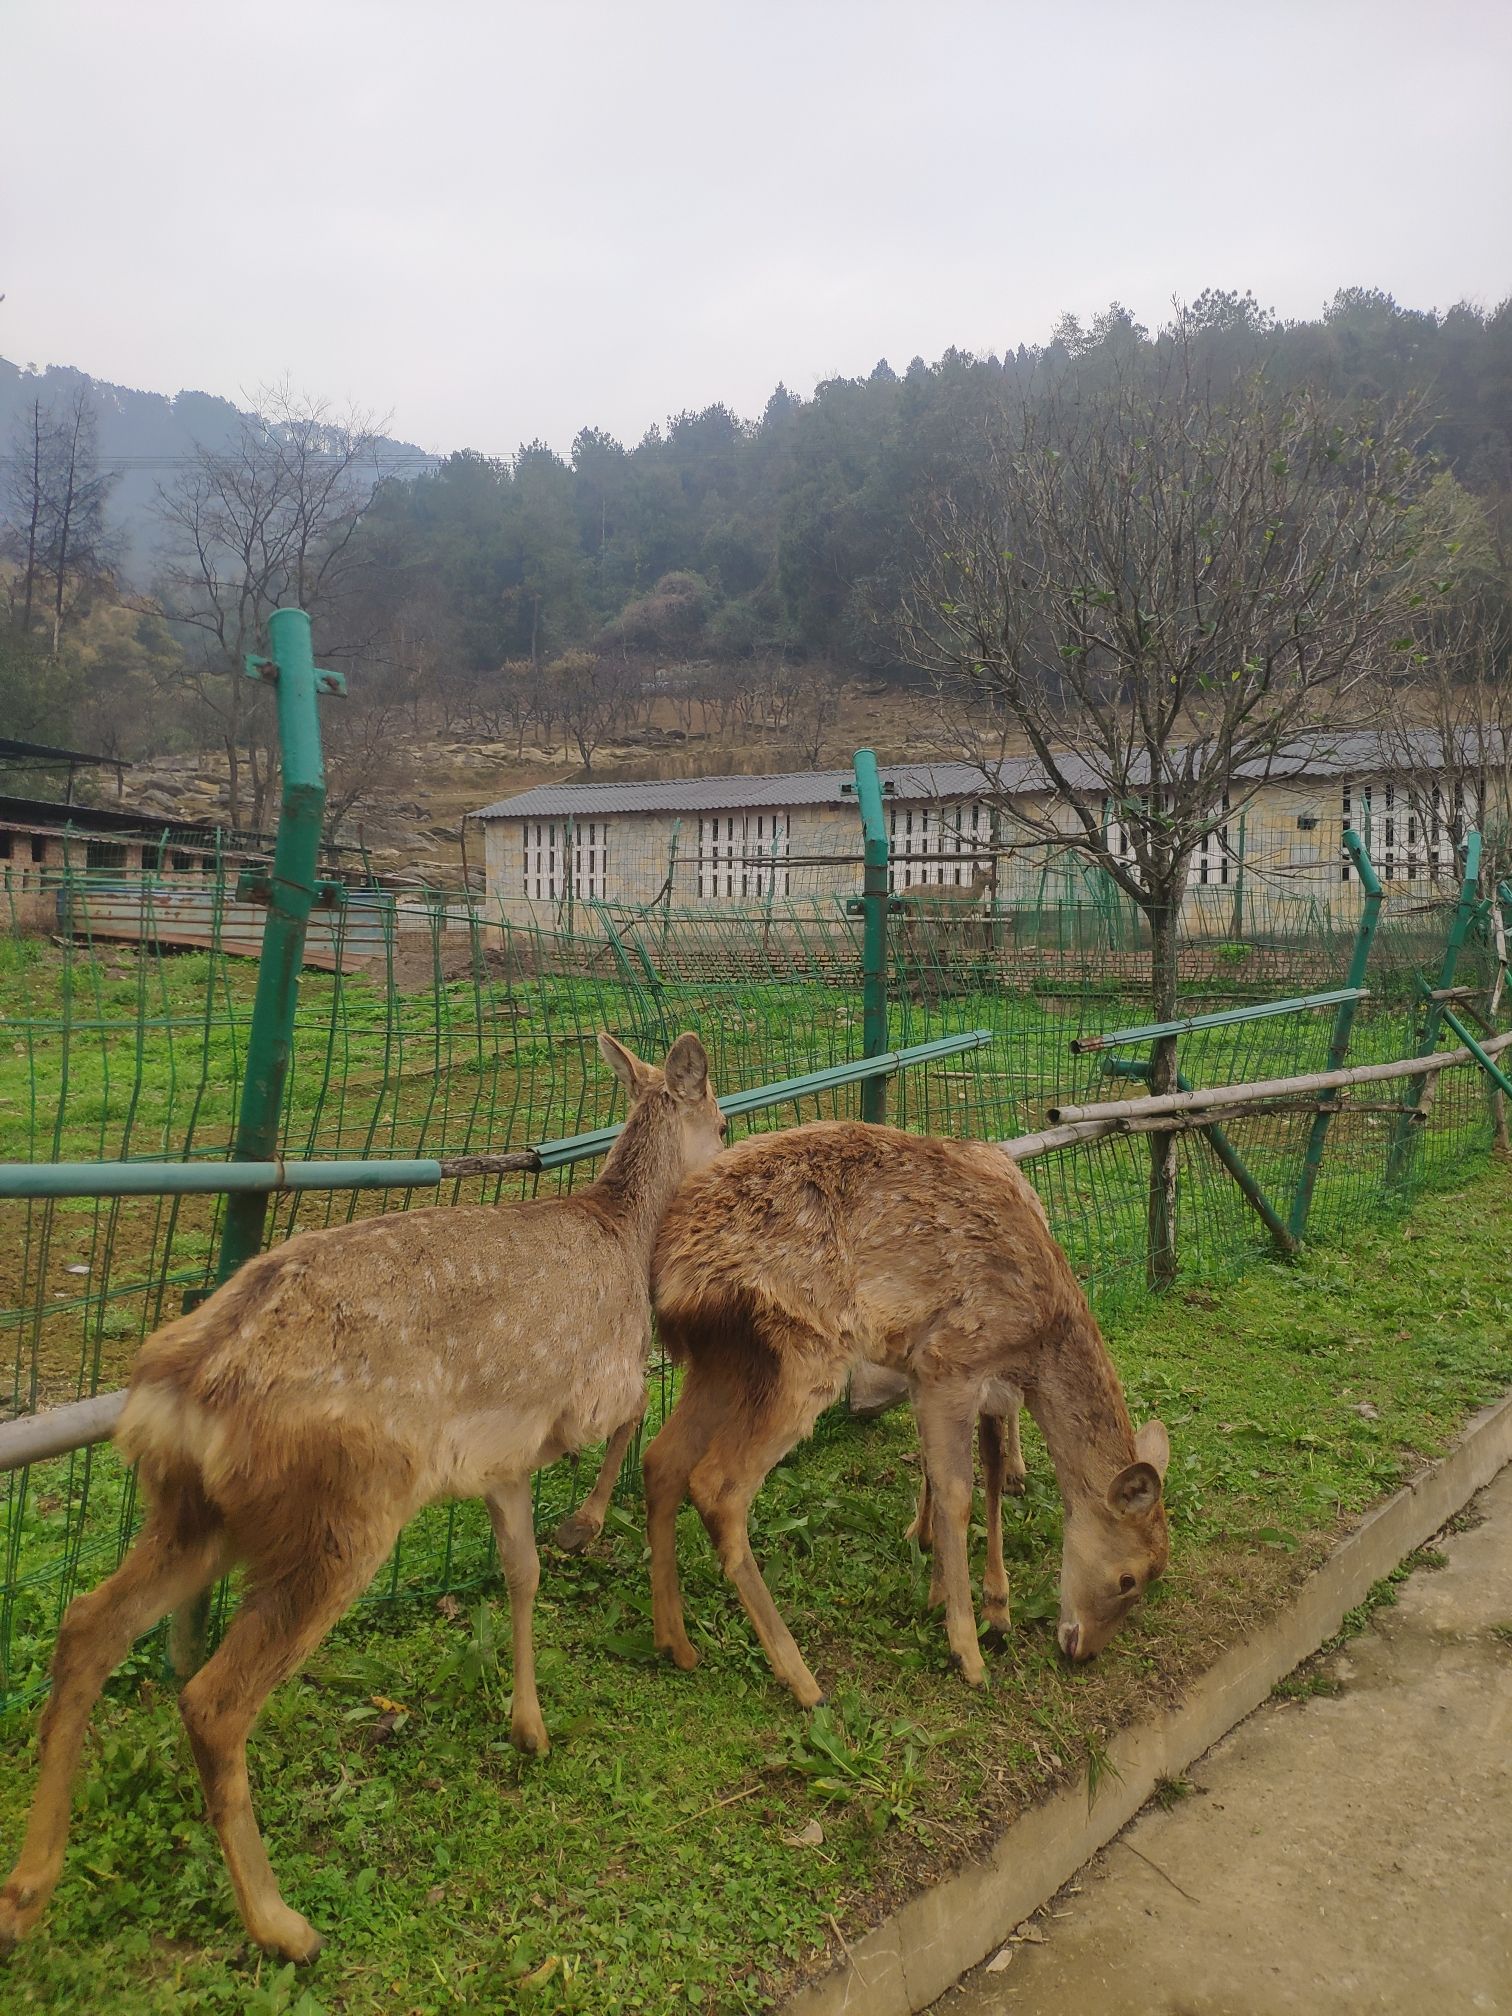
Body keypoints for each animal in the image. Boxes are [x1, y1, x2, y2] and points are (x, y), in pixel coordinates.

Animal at [0, 1032, 723, 1967]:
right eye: (722, 1118)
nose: (732, 1147)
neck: (622, 1238)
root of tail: (181, 1392)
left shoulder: (499, 1460)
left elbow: (519, 1572)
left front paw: (529, 1727)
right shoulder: (591, 1384)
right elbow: (631, 1421)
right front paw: (584, 1526)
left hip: (196, 1513)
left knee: (88, 1623)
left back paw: (26, 1892)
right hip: (343, 1510)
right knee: (214, 1700)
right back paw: (283, 1926)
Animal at [642, 1120, 1169, 1708]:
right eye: (1130, 1578)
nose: (1083, 1651)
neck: (1038, 1333)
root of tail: (671, 1266)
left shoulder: (934, 1374)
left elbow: (950, 1478)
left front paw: (951, 1600)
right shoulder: (952, 1362)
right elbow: (958, 1495)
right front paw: (969, 1651)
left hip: (725, 1360)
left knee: (661, 1459)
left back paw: (676, 1643)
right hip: (801, 1350)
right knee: (718, 1485)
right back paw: (803, 1680)